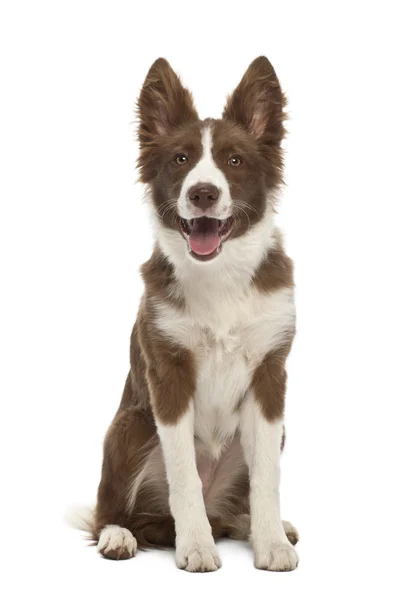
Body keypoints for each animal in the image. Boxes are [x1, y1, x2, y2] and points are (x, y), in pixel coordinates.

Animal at [83, 56, 298, 572]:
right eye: (180, 159)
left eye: (234, 161)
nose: (203, 193)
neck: (219, 273)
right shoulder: (168, 373)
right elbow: (183, 473)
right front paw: (196, 546)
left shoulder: (270, 374)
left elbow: (267, 478)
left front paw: (271, 543)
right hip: (130, 427)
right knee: (112, 510)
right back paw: (119, 535)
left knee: (232, 506)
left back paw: (255, 525)